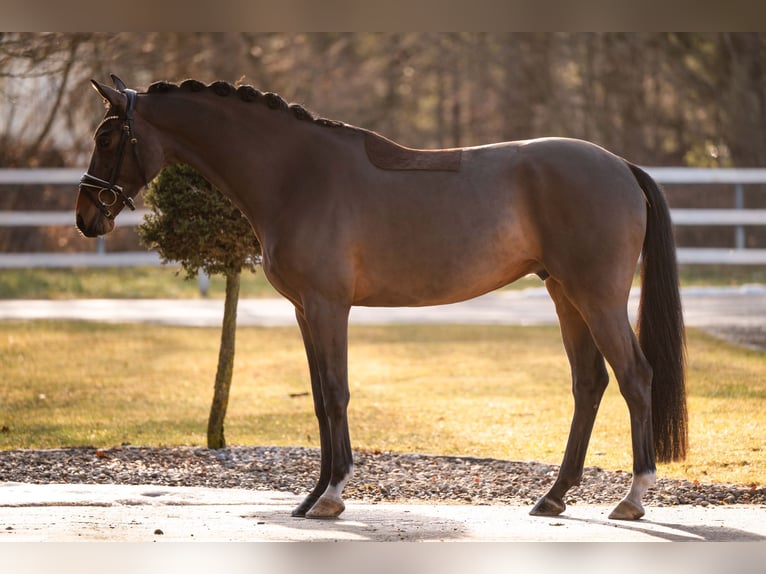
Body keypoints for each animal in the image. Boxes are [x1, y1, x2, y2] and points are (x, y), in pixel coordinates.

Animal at [76, 75, 687, 521]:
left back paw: (632, 498)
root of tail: (620, 165)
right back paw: (553, 496)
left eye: (106, 138)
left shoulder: (328, 306)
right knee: (589, 384)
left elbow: (336, 394)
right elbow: (319, 399)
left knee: (635, 377)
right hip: (565, 295)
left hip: (597, 297)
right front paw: (313, 495)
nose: (86, 218)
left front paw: (330, 496)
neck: (295, 173)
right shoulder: (305, 310)